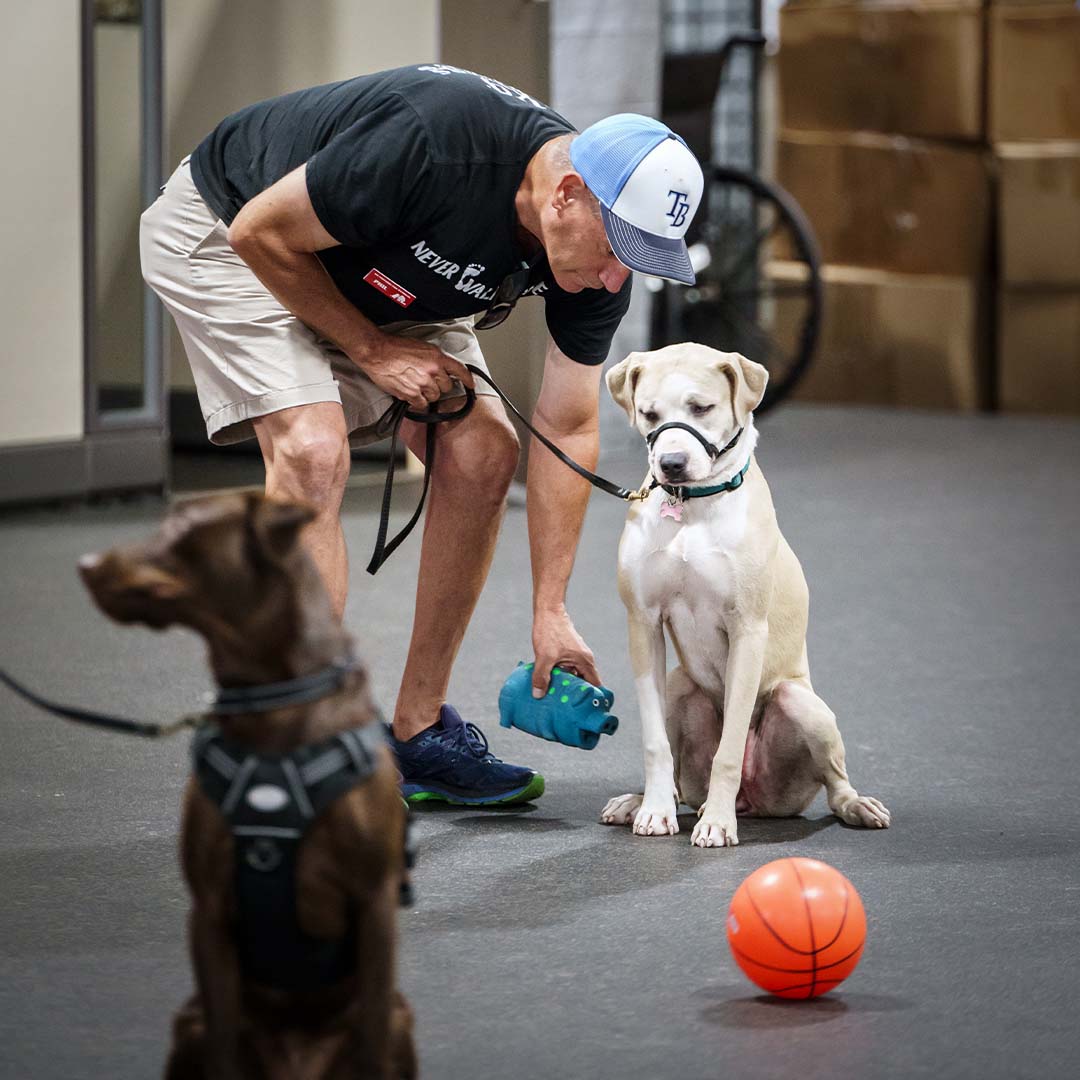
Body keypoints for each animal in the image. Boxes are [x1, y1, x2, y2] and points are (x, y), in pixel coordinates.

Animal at [78, 492, 414, 1080]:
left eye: (182, 530)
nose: (86, 563)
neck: (272, 708)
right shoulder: (209, 912)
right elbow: (223, 1042)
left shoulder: (374, 905)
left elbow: (372, 1039)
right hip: (187, 1022)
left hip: (400, 1017)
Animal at [604, 341, 889, 846]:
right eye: (649, 414)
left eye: (702, 408)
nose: (670, 464)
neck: (693, 506)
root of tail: (754, 801)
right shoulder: (643, 623)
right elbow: (655, 743)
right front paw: (653, 811)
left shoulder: (747, 631)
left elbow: (730, 747)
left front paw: (717, 823)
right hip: (679, 685)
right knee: (679, 773)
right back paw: (641, 801)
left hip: (801, 705)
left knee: (833, 781)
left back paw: (853, 805)